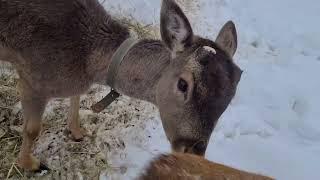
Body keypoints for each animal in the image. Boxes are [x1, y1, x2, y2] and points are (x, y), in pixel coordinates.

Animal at [0, 0, 241, 172]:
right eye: (183, 84)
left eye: (234, 90)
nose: (191, 151)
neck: (87, 63)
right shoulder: (32, 78)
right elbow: (32, 129)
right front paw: (31, 165)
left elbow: (76, 98)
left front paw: (78, 132)